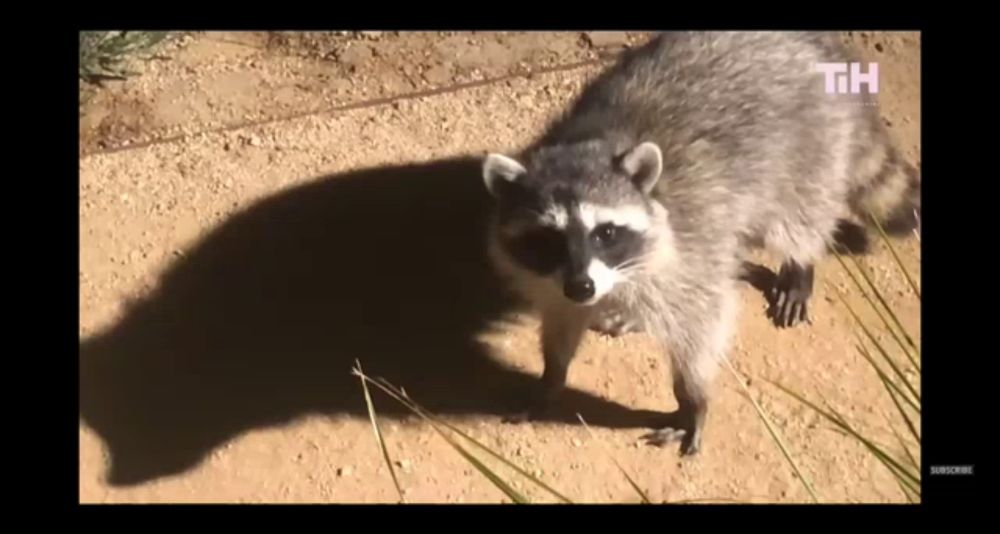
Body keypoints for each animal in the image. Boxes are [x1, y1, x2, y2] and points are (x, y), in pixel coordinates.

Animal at [480, 31, 916, 456]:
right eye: (548, 237)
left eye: (605, 233)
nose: (583, 287)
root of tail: (819, 45)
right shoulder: (552, 276)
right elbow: (561, 318)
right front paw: (551, 374)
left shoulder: (690, 244)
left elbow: (702, 322)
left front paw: (691, 397)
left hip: (809, 147)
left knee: (798, 214)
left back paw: (799, 262)